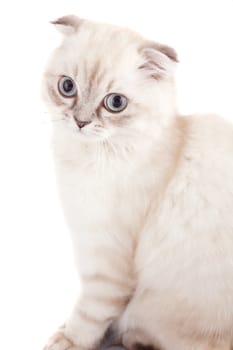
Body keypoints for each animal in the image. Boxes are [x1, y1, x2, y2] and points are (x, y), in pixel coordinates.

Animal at [42, 14, 233, 350]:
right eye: (67, 87)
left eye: (115, 103)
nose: (80, 122)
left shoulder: (107, 259)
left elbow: (89, 315)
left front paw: (66, 340)